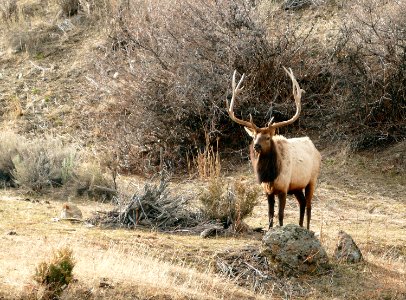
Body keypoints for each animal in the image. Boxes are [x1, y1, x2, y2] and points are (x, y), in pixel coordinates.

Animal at [228, 67, 320, 229]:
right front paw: (269, 230)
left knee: (309, 205)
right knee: (302, 203)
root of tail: (316, 150)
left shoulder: (283, 188)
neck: (270, 175)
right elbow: (270, 215)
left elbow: (280, 215)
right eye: (254, 136)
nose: (256, 146)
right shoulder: (268, 191)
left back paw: (308, 229)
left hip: (312, 179)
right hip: (297, 186)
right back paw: (300, 226)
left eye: (268, 137)